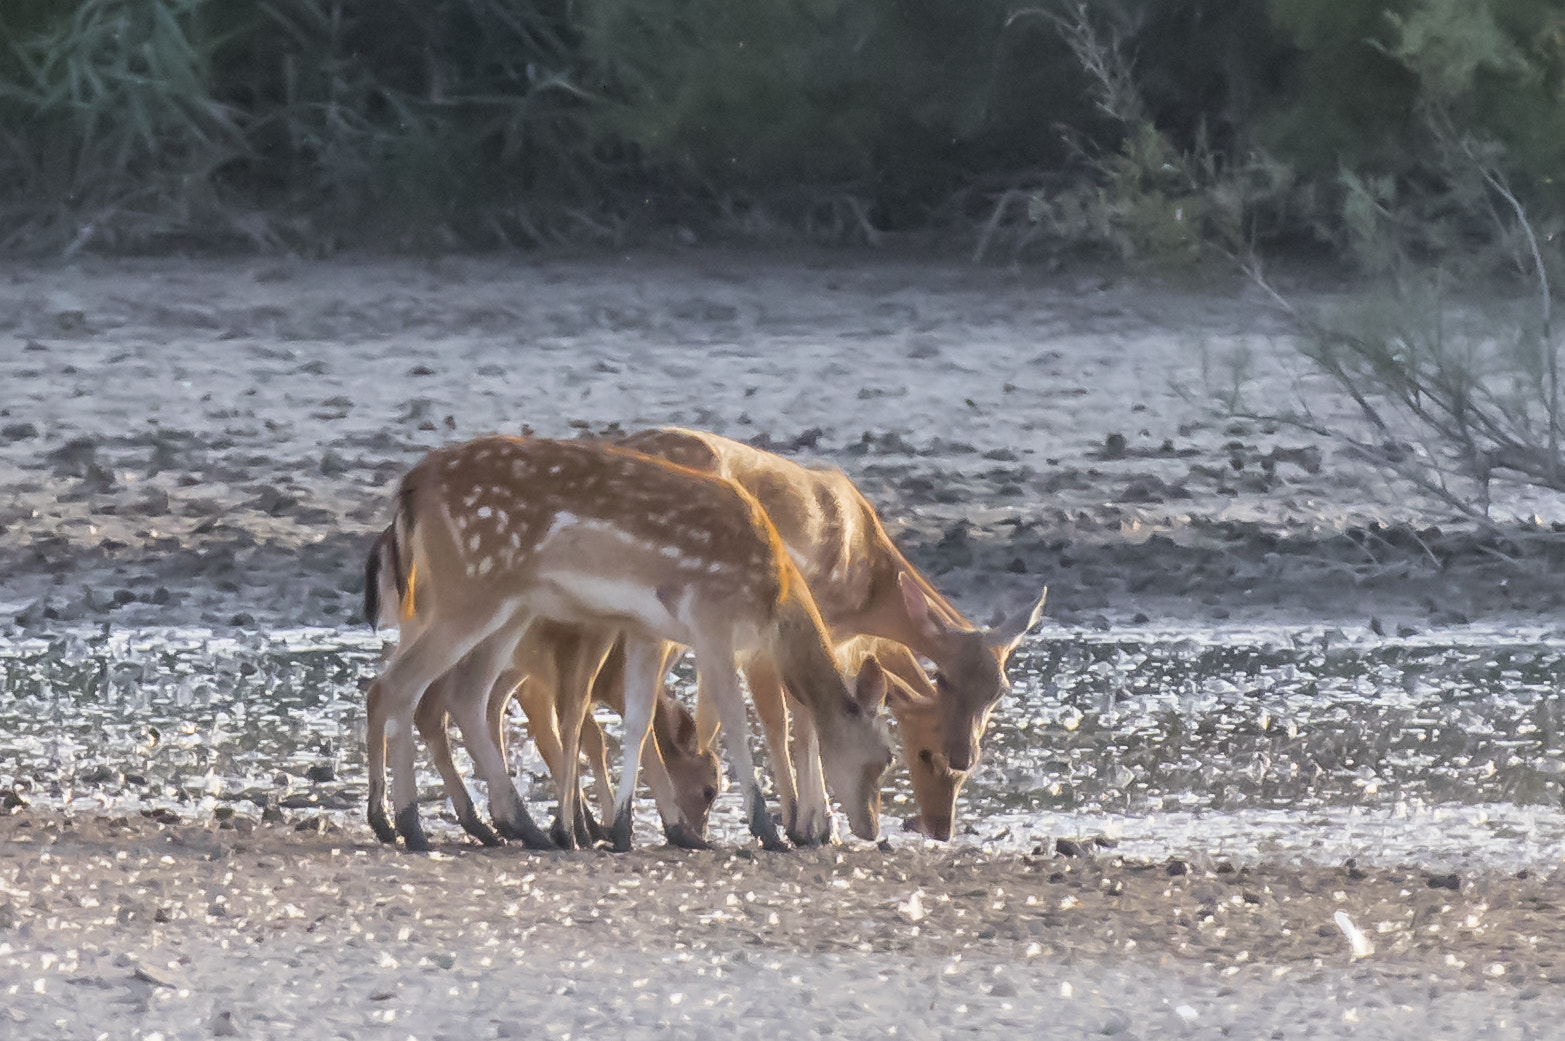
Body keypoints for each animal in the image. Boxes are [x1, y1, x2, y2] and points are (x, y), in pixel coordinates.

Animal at [364, 435, 895, 851]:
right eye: (884, 758)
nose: (870, 827)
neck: (774, 599)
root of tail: (411, 486)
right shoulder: (711, 619)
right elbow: (736, 723)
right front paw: (767, 830)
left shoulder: (647, 628)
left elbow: (638, 719)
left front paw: (624, 829)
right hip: (469, 590)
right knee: (404, 686)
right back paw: (413, 826)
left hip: (506, 606)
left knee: (458, 694)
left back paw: (511, 827)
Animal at [616, 425, 1045, 839]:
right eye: (943, 678)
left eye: (1000, 690)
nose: (963, 757)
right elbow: (794, 722)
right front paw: (810, 826)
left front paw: (811, 821)